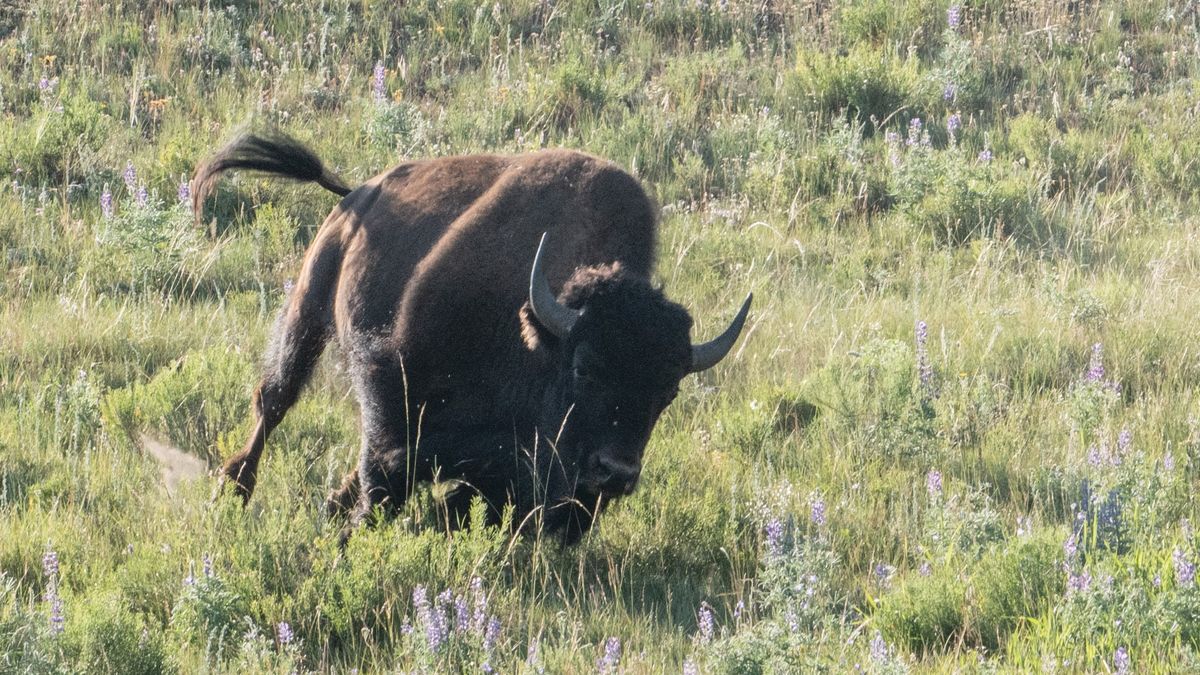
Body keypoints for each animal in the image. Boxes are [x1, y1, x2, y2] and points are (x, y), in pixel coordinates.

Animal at [195, 132, 748, 540]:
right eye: (583, 367)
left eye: (668, 392)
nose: (615, 473)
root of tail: (358, 193)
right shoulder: (390, 383)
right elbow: (387, 474)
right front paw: (351, 538)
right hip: (309, 309)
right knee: (274, 400)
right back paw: (234, 488)